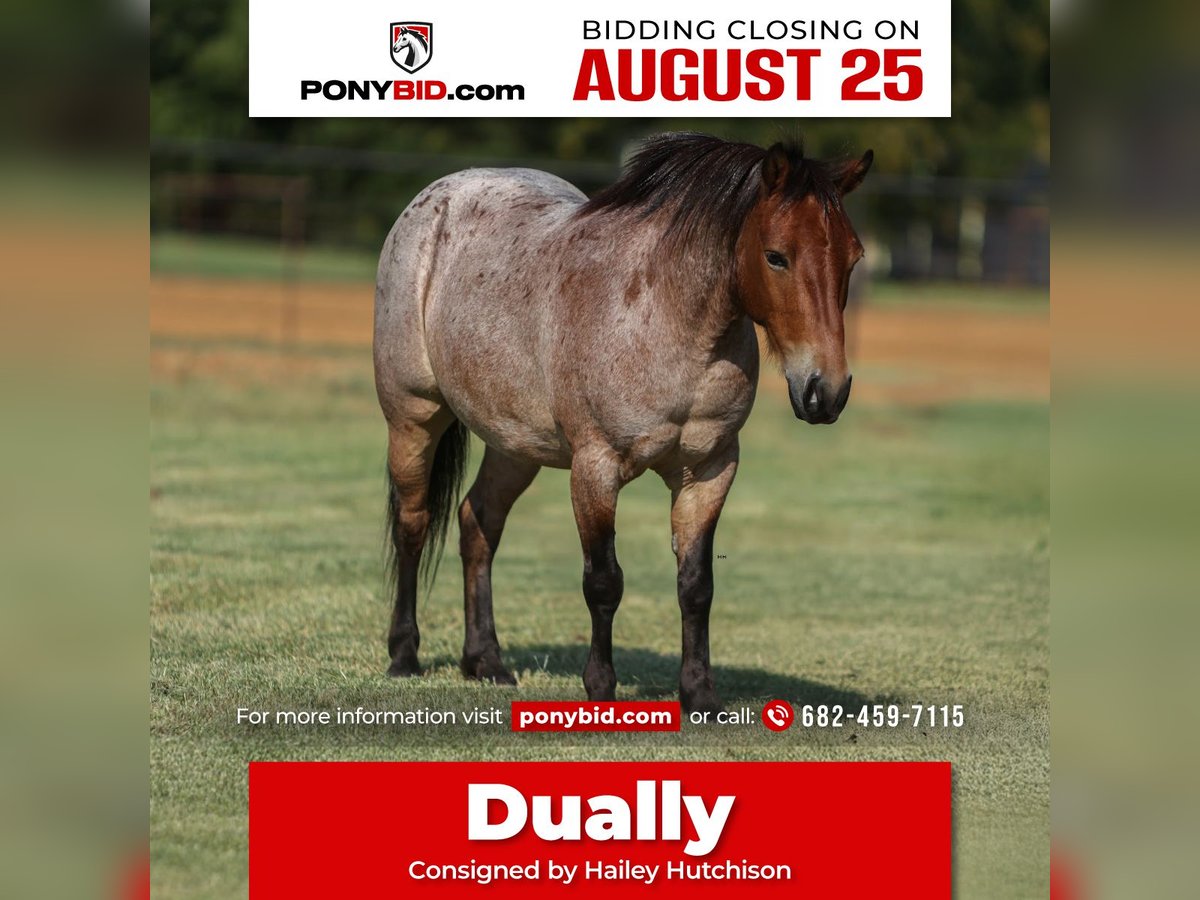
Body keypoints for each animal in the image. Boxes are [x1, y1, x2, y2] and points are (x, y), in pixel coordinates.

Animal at [373, 132, 872, 712]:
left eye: (853, 258)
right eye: (776, 256)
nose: (826, 391)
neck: (668, 320)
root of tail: (439, 195)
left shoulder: (709, 469)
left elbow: (696, 585)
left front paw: (699, 694)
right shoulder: (596, 468)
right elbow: (603, 582)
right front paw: (601, 687)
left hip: (514, 444)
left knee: (479, 523)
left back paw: (486, 662)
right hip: (414, 416)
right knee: (413, 522)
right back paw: (404, 655)